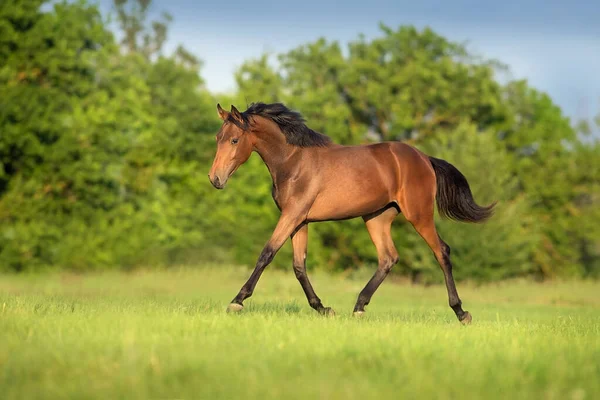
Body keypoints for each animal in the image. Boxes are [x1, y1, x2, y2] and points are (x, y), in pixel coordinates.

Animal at [209, 101, 494, 324]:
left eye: (234, 140)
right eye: (217, 139)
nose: (215, 179)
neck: (293, 161)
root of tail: (424, 158)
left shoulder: (292, 215)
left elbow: (267, 254)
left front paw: (237, 301)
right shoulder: (299, 220)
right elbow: (299, 265)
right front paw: (323, 308)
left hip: (419, 215)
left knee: (441, 252)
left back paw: (461, 312)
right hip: (376, 217)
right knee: (388, 258)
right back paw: (358, 307)